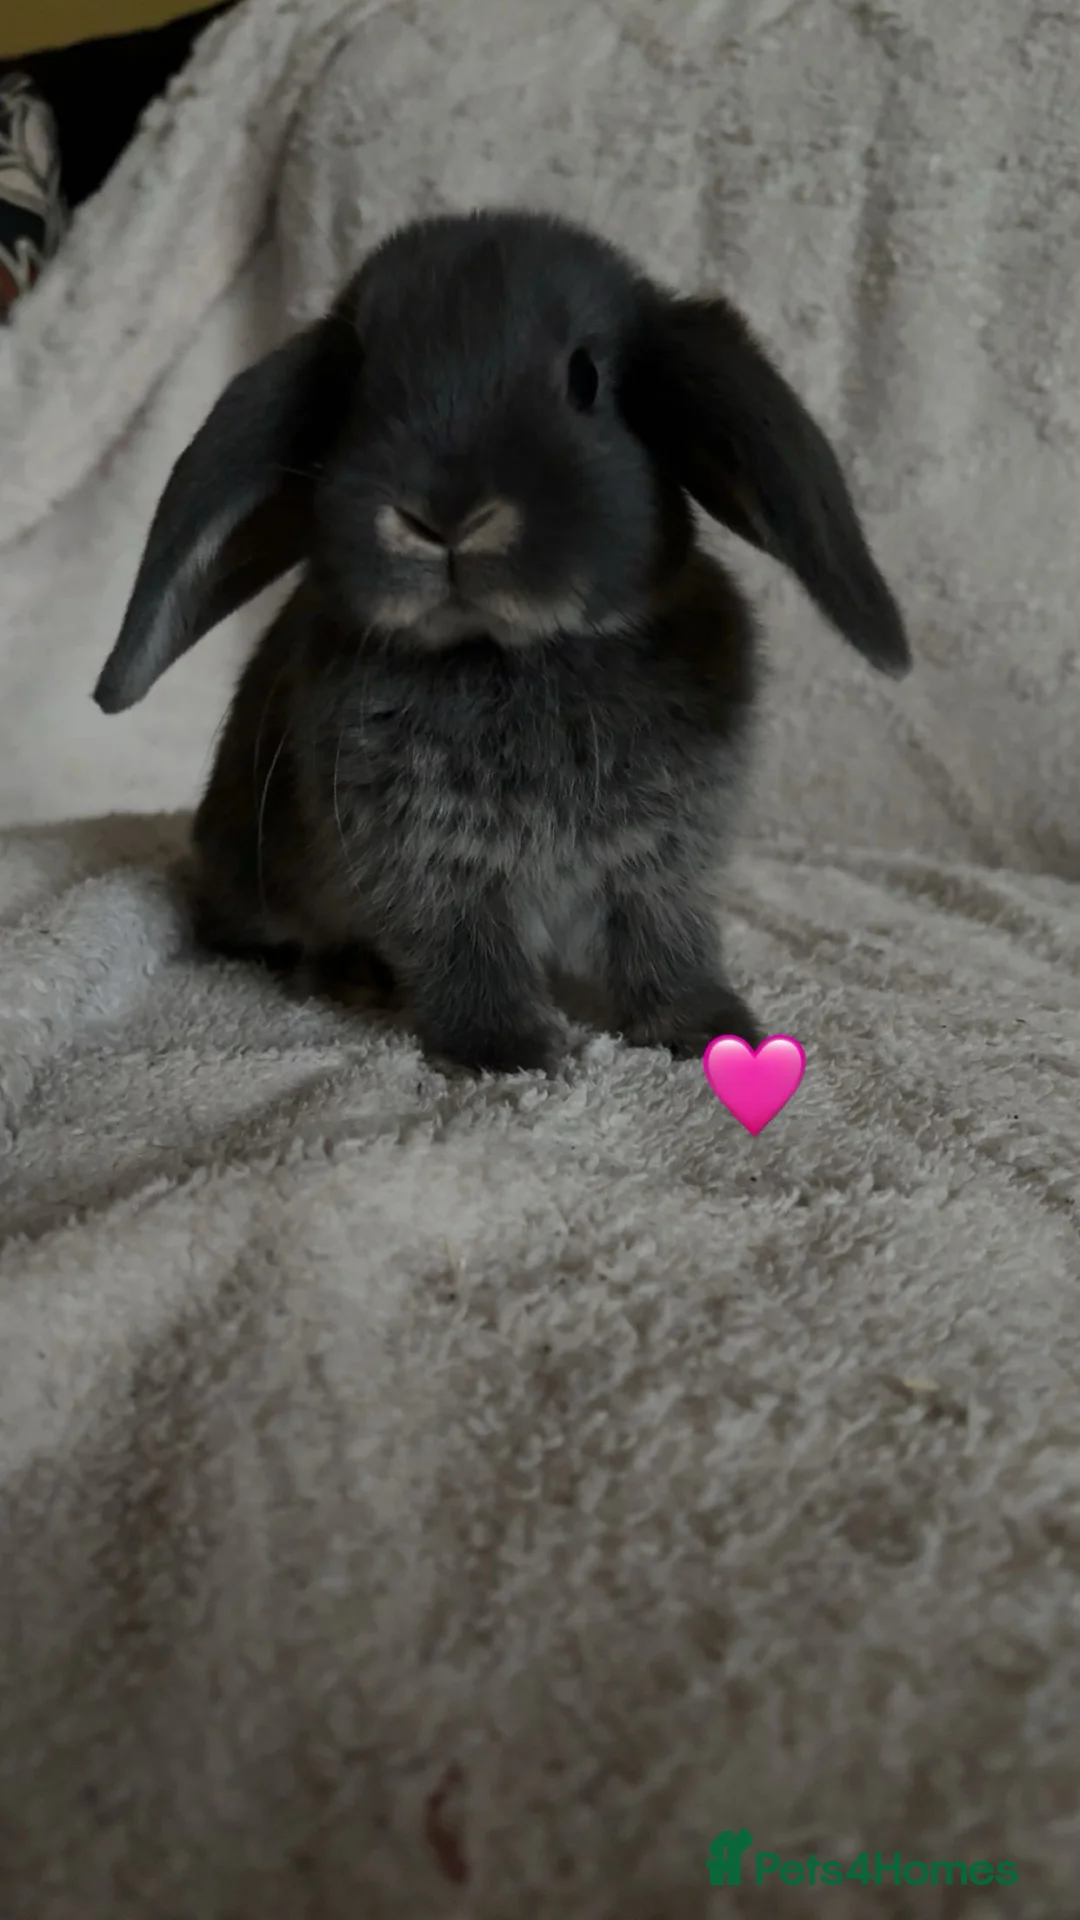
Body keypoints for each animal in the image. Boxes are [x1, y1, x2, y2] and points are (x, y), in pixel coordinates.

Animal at [93, 208, 909, 1075]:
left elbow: (665, 941)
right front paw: (509, 1049)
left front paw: (713, 1030)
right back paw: (351, 974)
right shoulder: (431, 864)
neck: (507, 651)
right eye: (354, 392)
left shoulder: (659, 862)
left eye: (585, 380)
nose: (443, 514)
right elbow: (465, 948)